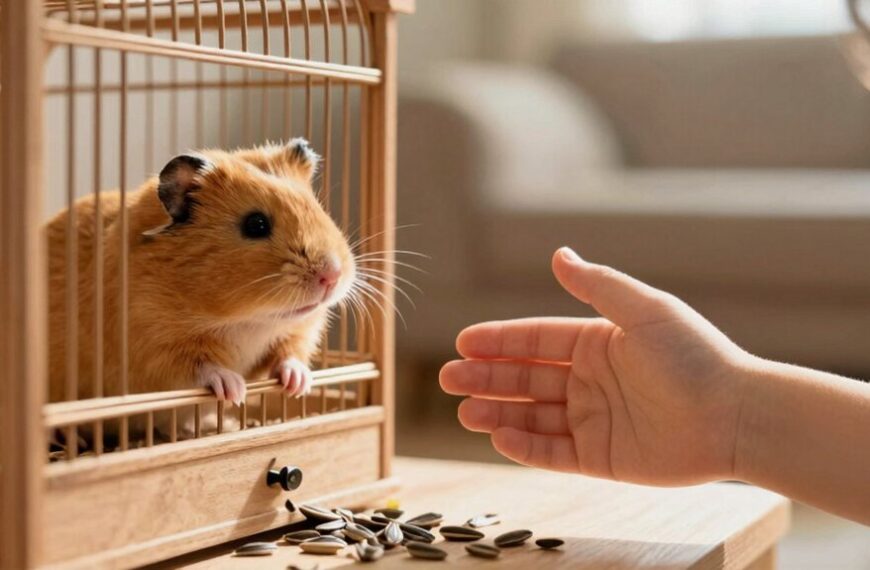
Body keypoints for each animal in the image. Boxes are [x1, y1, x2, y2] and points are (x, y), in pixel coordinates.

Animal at [47, 139, 356, 426]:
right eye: (255, 224)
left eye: (318, 209)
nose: (332, 275)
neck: (247, 321)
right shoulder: (153, 346)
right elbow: (201, 368)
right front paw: (234, 389)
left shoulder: (296, 332)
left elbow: (289, 354)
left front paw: (298, 384)